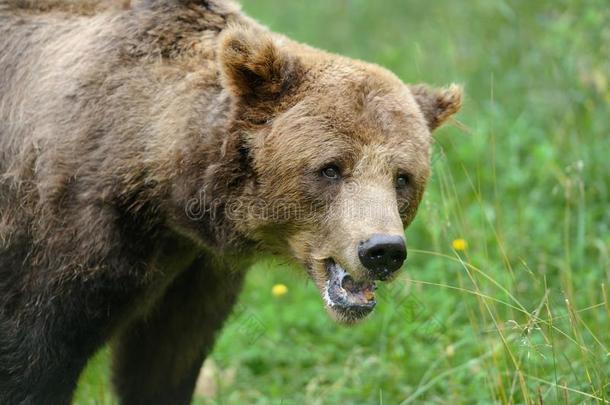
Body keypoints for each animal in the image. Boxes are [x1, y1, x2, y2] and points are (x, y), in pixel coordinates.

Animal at [0, 1, 458, 402]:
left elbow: (163, 365)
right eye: (331, 168)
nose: (382, 250)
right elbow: (33, 358)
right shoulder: (65, 233)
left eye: (402, 177)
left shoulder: (193, 275)